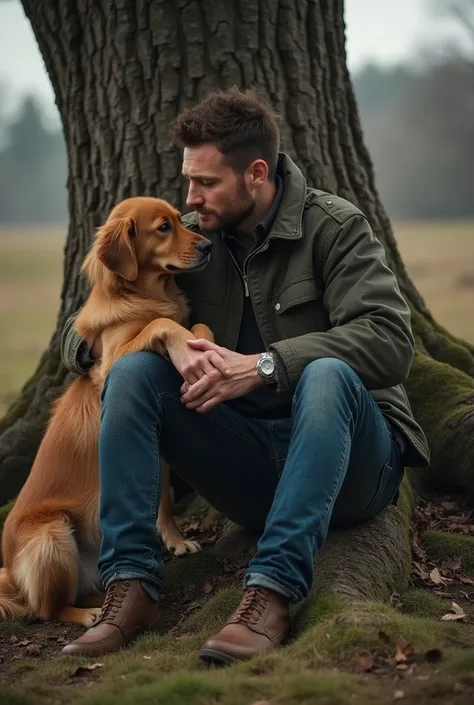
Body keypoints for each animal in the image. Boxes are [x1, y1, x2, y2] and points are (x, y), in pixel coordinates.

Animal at [0, 195, 215, 624]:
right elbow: (162, 325)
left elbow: (163, 497)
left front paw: (175, 539)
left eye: (180, 218)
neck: (147, 297)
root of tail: (9, 577)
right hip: (51, 535)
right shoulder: (114, 356)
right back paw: (88, 615)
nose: (208, 246)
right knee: (47, 609)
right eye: (163, 227)